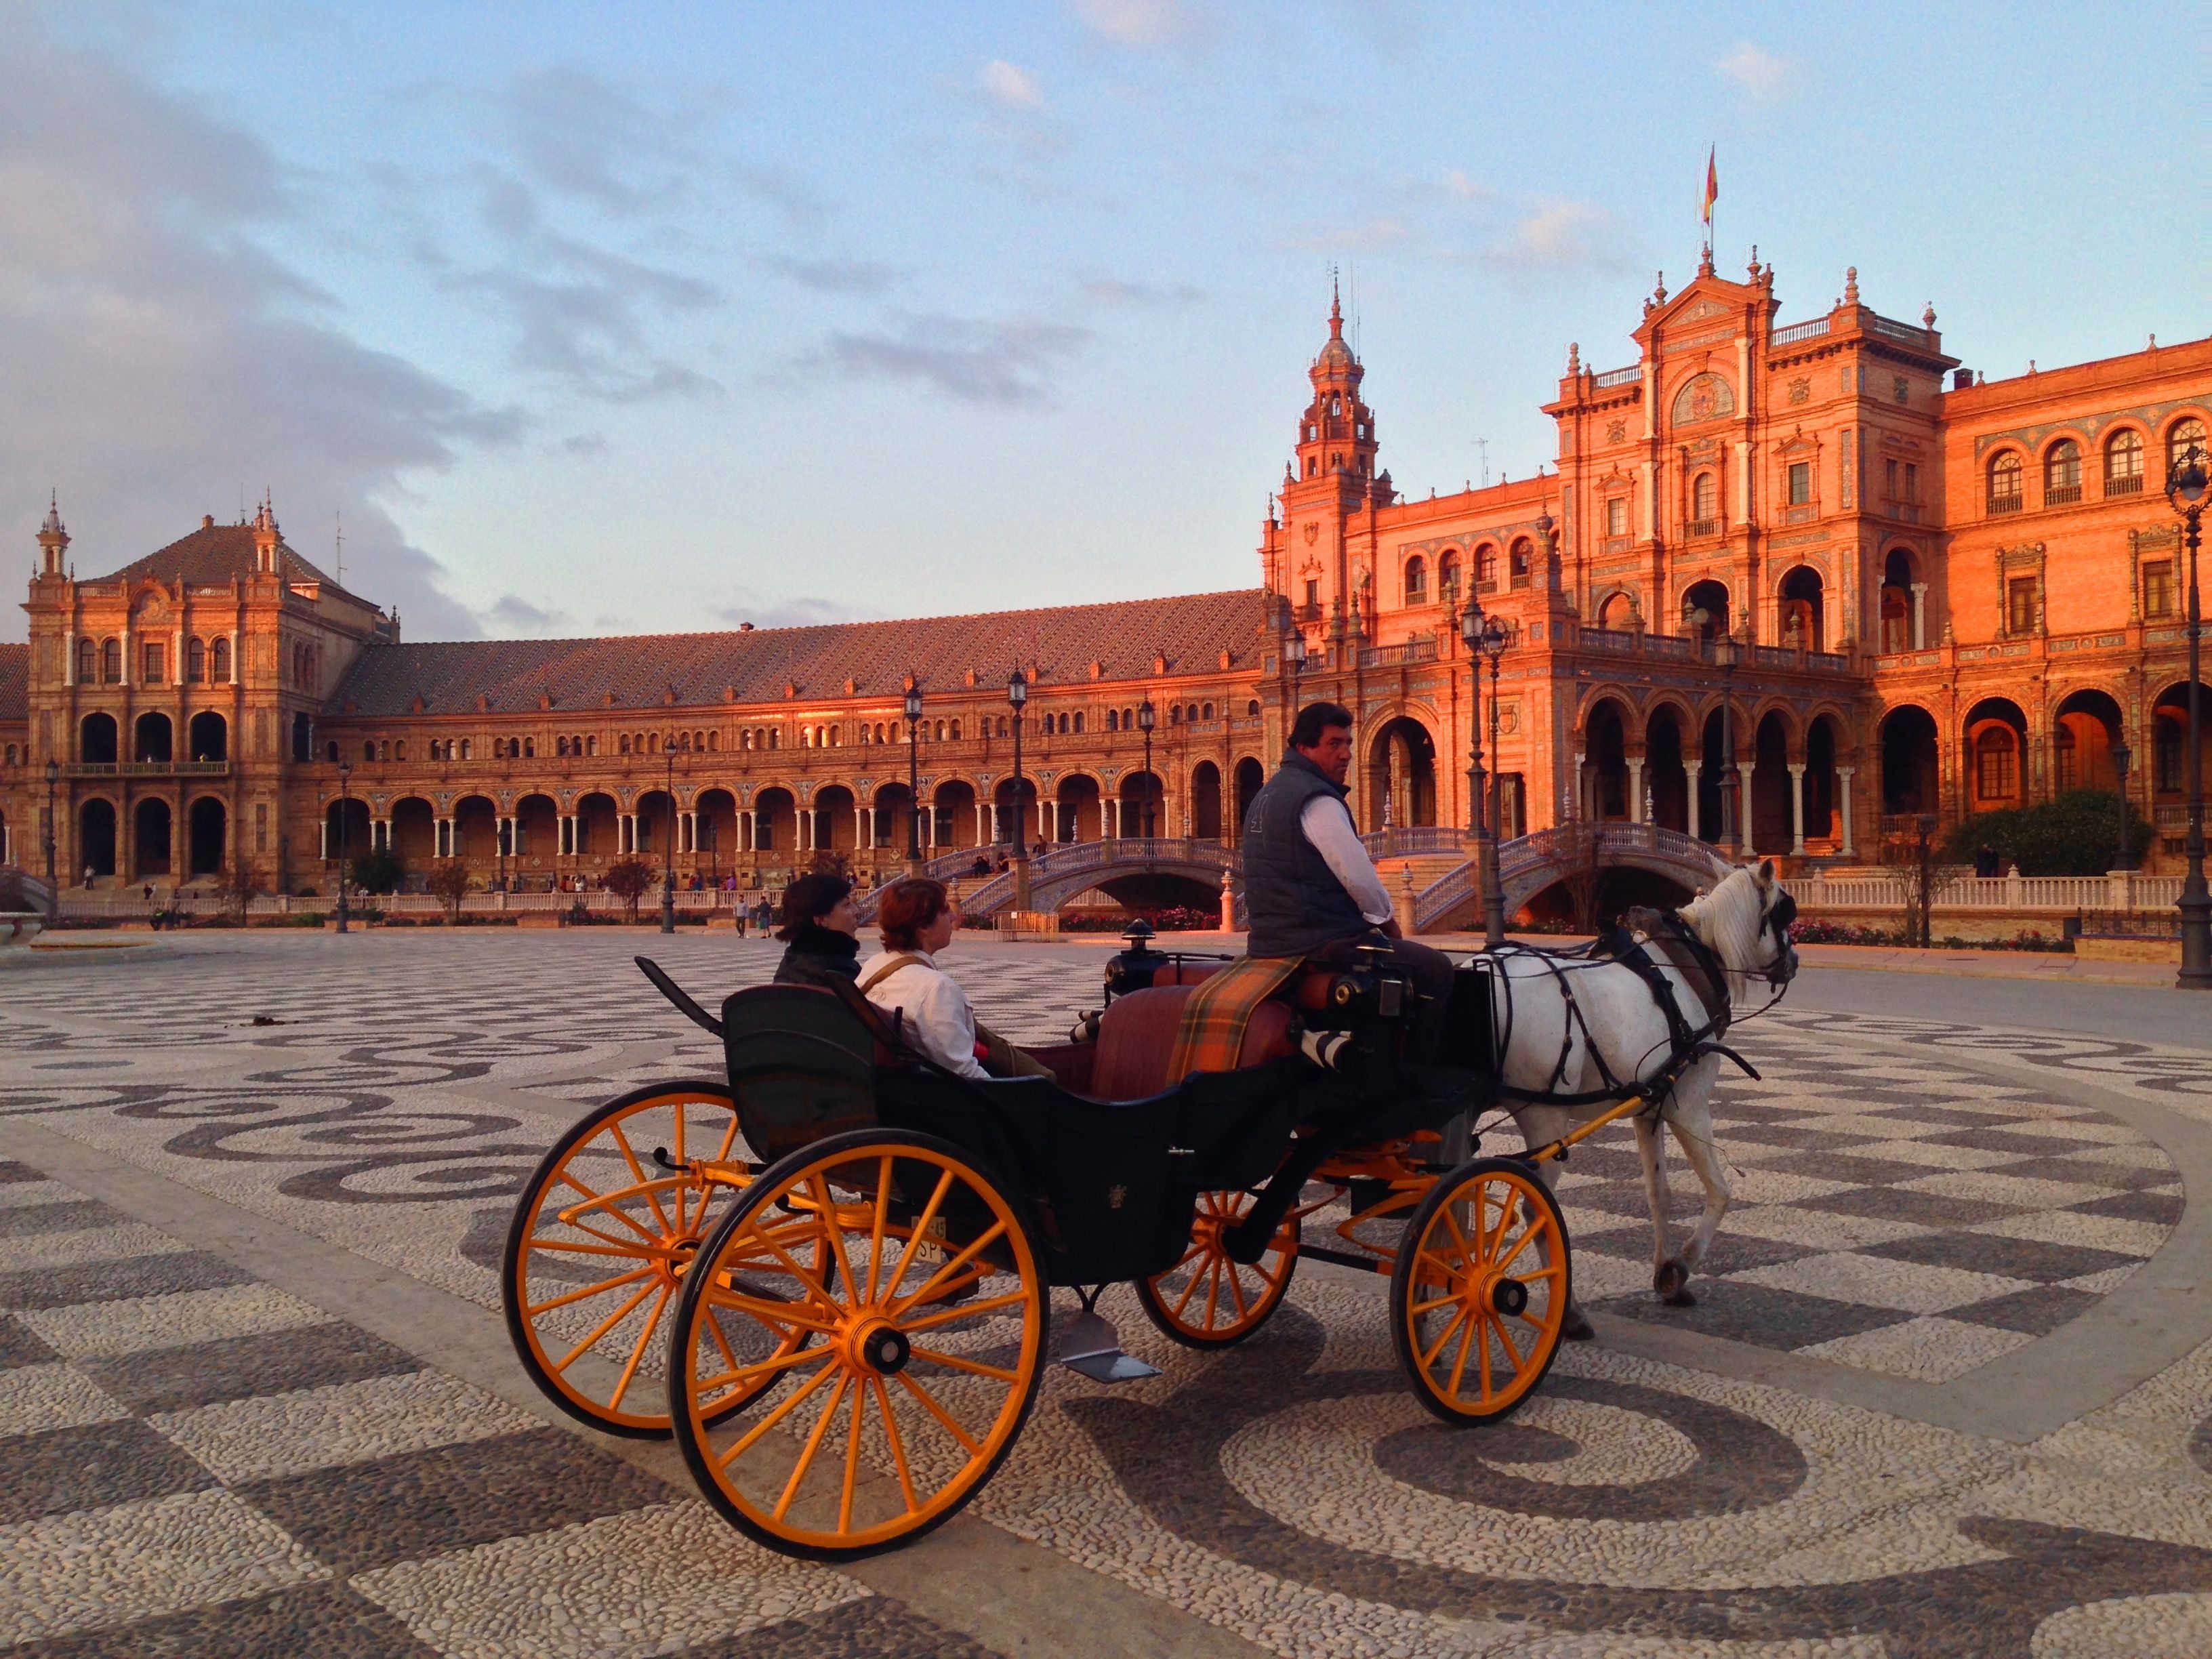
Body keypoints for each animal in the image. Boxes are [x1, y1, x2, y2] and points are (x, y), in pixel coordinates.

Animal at [1486, 858, 1796, 1336]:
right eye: (1785, 912)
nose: (1795, 961)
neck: (1685, 968)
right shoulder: (1690, 1106)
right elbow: (1720, 1190)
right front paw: (1680, 1266)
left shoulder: (1650, 1110)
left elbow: (1659, 1192)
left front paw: (1664, 1270)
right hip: (1546, 1122)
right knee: (1538, 1216)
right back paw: (1568, 1313)